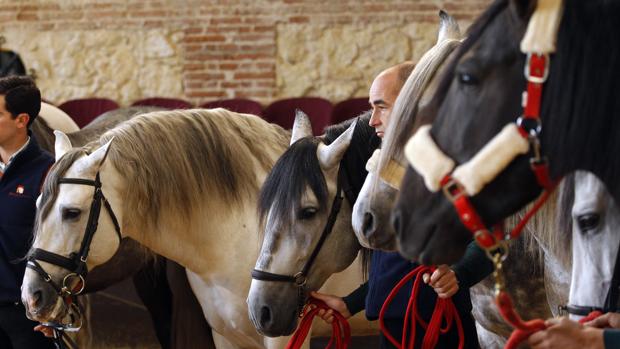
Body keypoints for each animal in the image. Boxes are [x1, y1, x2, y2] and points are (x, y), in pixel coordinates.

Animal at [20, 109, 372, 348]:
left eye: (72, 212)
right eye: (37, 206)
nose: (31, 296)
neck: (234, 239)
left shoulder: (283, 336)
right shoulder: (225, 334)